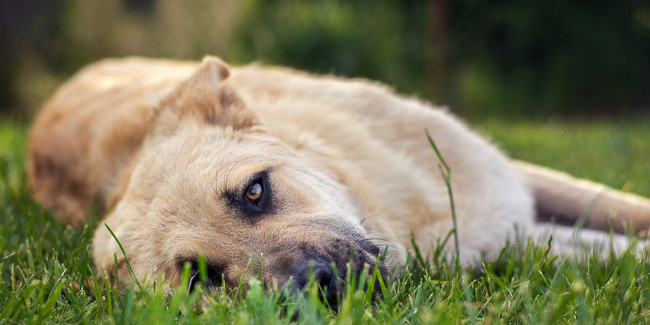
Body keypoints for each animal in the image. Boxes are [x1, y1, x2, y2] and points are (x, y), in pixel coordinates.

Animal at [26, 56, 648, 294]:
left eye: (255, 191)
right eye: (202, 277)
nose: (316, 285)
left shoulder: (511, 185)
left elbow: (622, 212)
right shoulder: (500, 240)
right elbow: (605, 248)